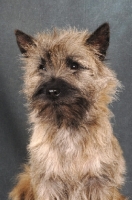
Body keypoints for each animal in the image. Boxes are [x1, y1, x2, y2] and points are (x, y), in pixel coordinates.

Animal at [9, 22, 127, 199]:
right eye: (42, 67)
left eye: (74, 65)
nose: (52, 91)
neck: (67, 128)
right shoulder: (48, 183)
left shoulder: (99, 183)